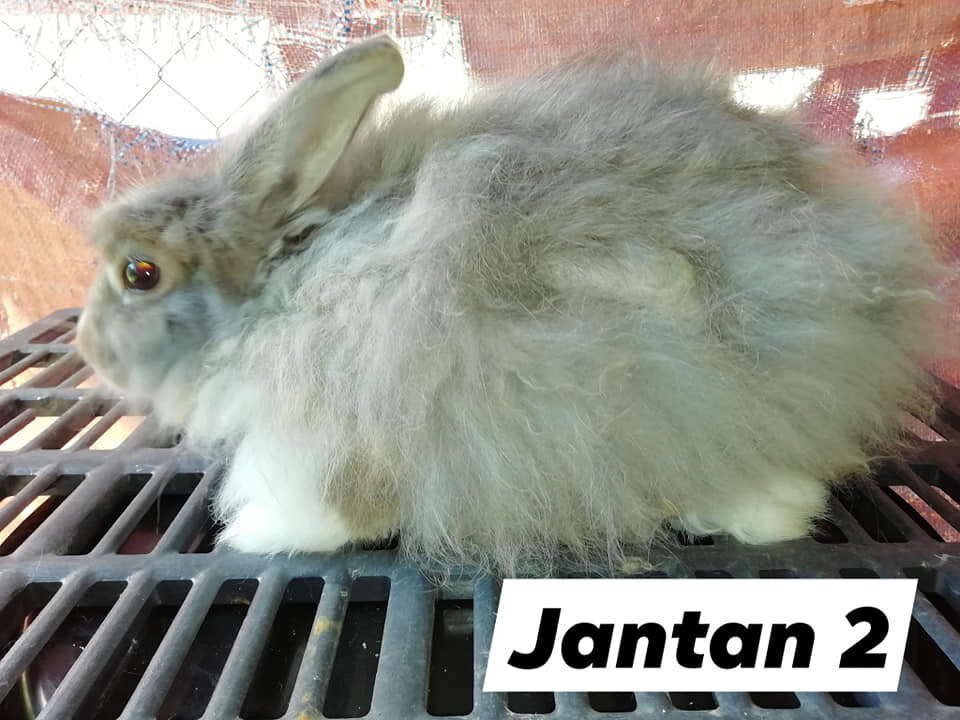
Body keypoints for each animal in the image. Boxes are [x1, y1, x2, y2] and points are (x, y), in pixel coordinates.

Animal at [77, 35, 950, 575]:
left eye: (140, 273)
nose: (87, 348)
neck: (281, 290)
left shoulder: (340, 431)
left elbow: (328, 507)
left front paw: (253, 533)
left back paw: (759, 511)